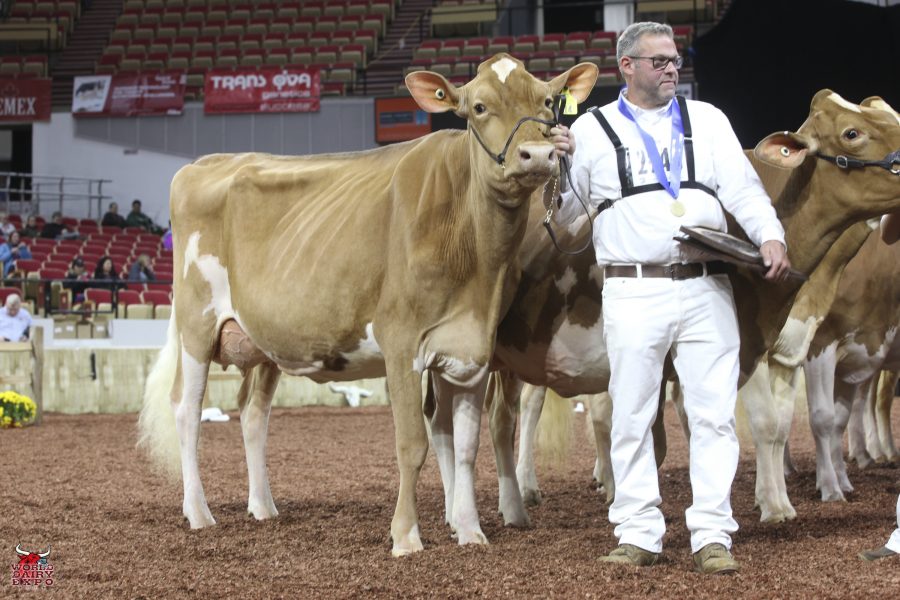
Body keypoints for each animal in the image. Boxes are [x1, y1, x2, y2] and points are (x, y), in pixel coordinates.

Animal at [136, 54, 599, 557]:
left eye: (548, 102)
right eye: (478, 106)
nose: (538, 155)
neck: (473, 253)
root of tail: (207, 162)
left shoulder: (471, 349)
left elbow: (466, 447)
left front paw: (471, 531)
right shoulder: (401, 343)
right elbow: (411, 444)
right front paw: (406, 536)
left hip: (265, 339)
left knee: (253, 411)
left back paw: (262, 506)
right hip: (196, 326)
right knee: (186, 408)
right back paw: (199, 512)